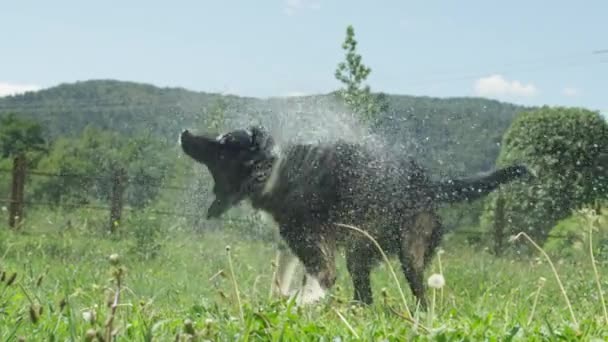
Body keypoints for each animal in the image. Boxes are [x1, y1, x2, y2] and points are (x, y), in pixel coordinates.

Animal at [178, 126, 528, 308]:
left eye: (223, 144)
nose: (184, 133)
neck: (274, 172)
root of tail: (430, 182)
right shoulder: (290, 245)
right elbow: (280, 285)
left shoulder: (314, 250)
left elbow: (314, 286)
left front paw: (302, 304)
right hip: (362, 252)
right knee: (366, 296)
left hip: (409, 253)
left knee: (420, 296)